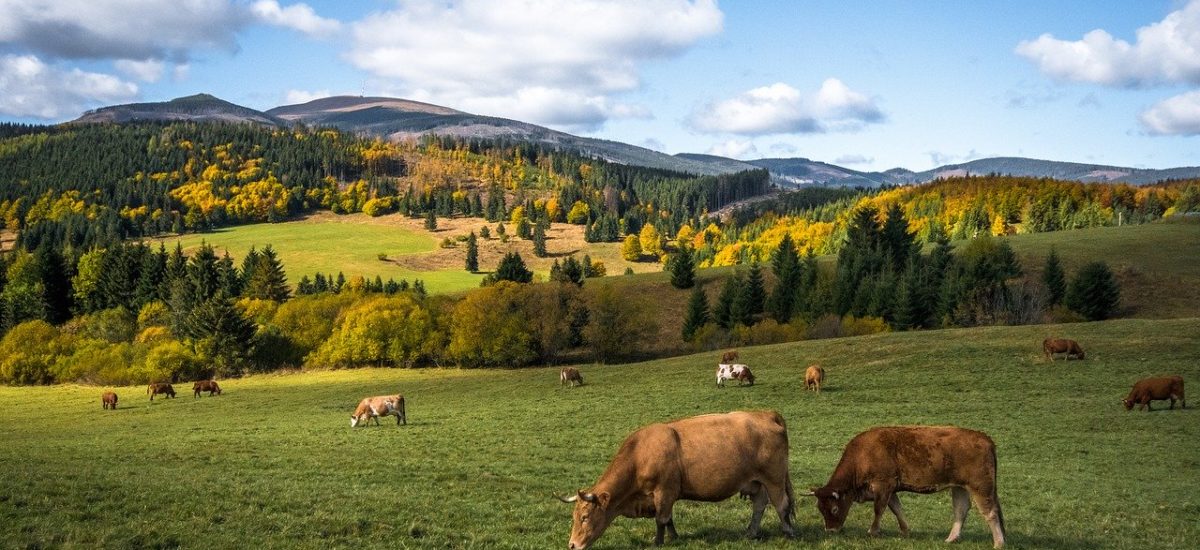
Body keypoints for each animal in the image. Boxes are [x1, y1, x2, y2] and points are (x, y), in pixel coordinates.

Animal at [559, 410, 796, 547]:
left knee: (781, 505)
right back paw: (751, 533)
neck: (640, 453)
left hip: (774, 479)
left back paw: (788, 532)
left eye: (585, 517)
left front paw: (658, 542)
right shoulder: (665, 495)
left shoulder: (664, 491)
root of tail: (766, 414)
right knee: (759, 506)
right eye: (574, 517)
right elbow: (668, 518)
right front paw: (674, 537)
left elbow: (661, 519)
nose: (572, 545)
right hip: (757, 483)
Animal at [801, 427, 1008, 547]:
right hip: (959, 487)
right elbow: (897, 509)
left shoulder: (883, 486)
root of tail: (985, 438)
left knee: (990, 512)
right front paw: (906, 531)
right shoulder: (891, 489)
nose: (830, 531)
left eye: (834, 509)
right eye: (820, 508)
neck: (863, 454)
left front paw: (873, 531)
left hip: (981, 486)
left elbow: (879, 509)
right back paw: (951, 538)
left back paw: (998, 542)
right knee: (961, 510)